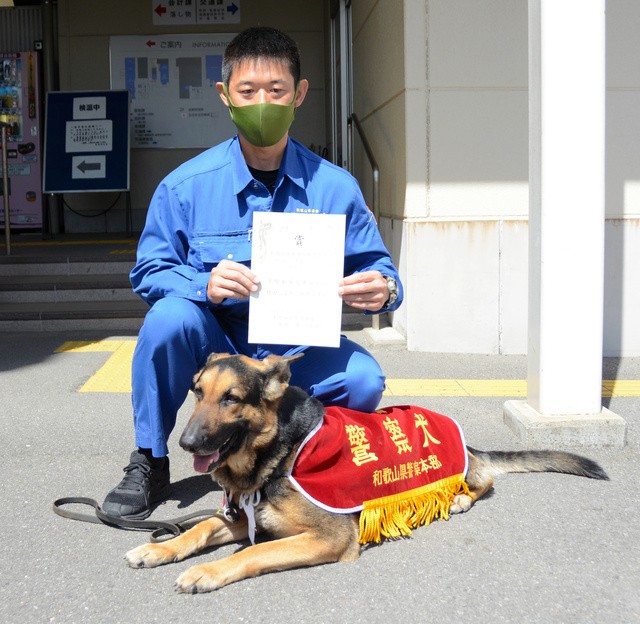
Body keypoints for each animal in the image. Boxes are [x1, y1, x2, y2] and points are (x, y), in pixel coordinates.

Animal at [125, 354, 608, 592]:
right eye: (196, 392)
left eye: (231, 398)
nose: (186, 444)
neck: (279, 454)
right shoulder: (246, 516)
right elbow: (200, 528)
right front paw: (159, 548)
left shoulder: (327, 537)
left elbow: (252, 553)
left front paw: (206, 572)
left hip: (463, 469)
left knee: (484, 481)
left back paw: (460, 498)